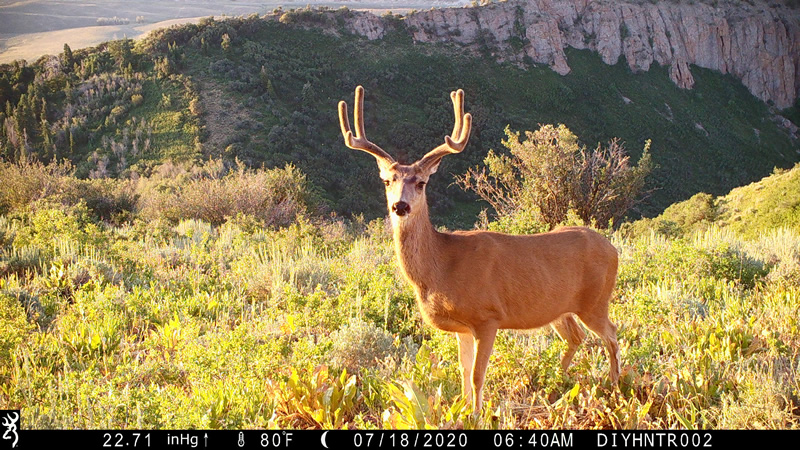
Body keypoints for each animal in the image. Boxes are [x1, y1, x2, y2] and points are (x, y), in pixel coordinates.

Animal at [337, 86, 620, 412]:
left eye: (421, 183)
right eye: (387, 181)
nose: (400, 206)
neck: (440, 267)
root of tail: (613, 249)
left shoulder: (488, 316)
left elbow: (476, 376)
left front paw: (477, 414)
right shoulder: (462, 327)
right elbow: (462, 372)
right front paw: (461, 410)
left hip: (595, 301)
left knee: (612, 334)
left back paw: (614, 385)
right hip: (560, 309)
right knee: (576, 338)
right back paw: (556, 385)